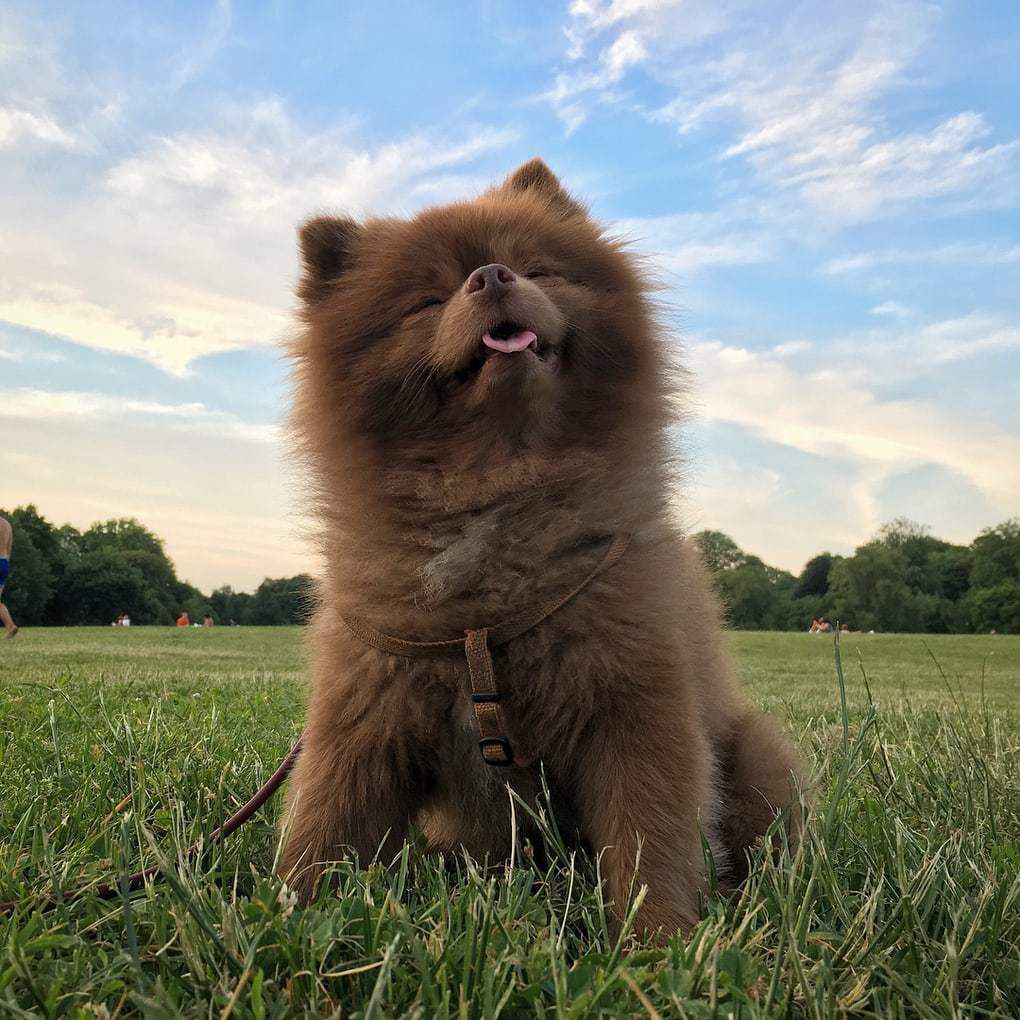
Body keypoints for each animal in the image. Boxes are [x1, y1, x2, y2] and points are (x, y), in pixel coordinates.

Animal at [281, 161, 803, 938]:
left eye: (536, 269)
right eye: (426, 301)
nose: (491, 276)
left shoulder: (634, 702)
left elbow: (652, 837)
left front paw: (659, 942)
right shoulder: (366, 713)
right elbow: (323, 826)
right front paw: (283, 913)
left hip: (759, 759)